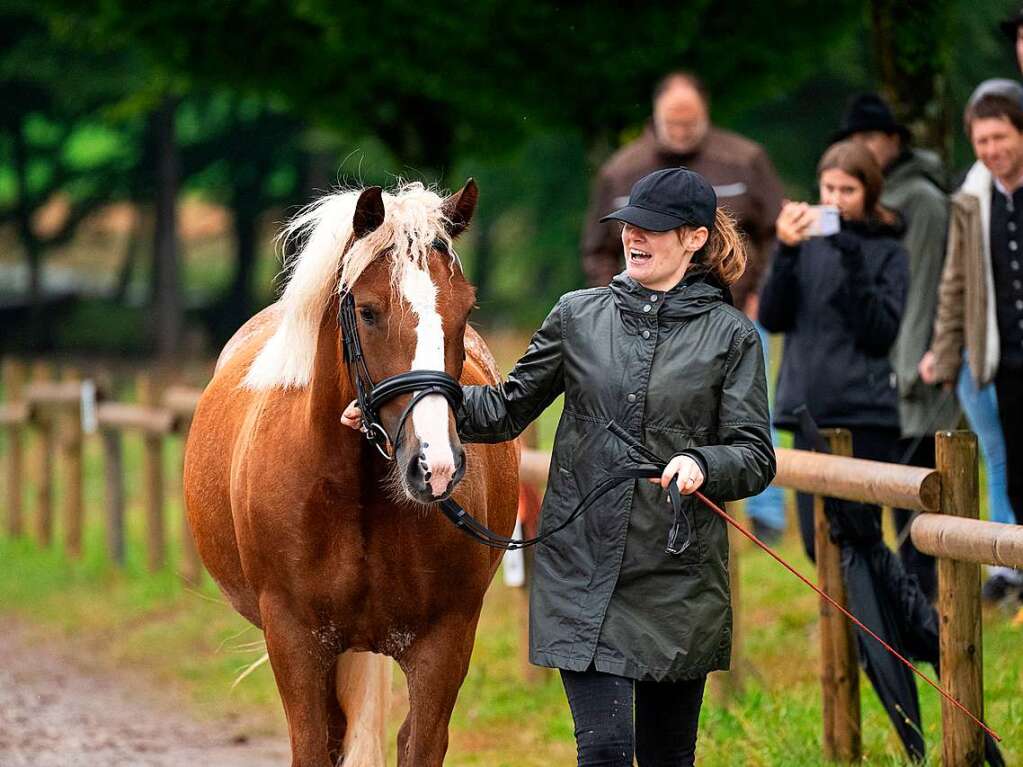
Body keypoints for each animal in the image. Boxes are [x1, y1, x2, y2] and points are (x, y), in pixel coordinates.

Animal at [185, 182, 519, 767]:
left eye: (464, 309)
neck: (357, 497)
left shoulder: (444, 643)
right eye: (367, 311)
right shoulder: (295, 641)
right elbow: (315, 743)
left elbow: (419, 743)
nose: (434, 465)